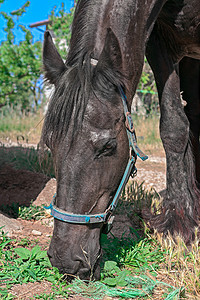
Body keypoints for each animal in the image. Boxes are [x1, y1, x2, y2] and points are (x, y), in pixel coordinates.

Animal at [40, 0, 200, 282]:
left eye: (108, 146)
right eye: (50, 145)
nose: (65, 259)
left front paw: (179, 228)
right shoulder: (159, 46)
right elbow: (173, 124)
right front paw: (181, 221)